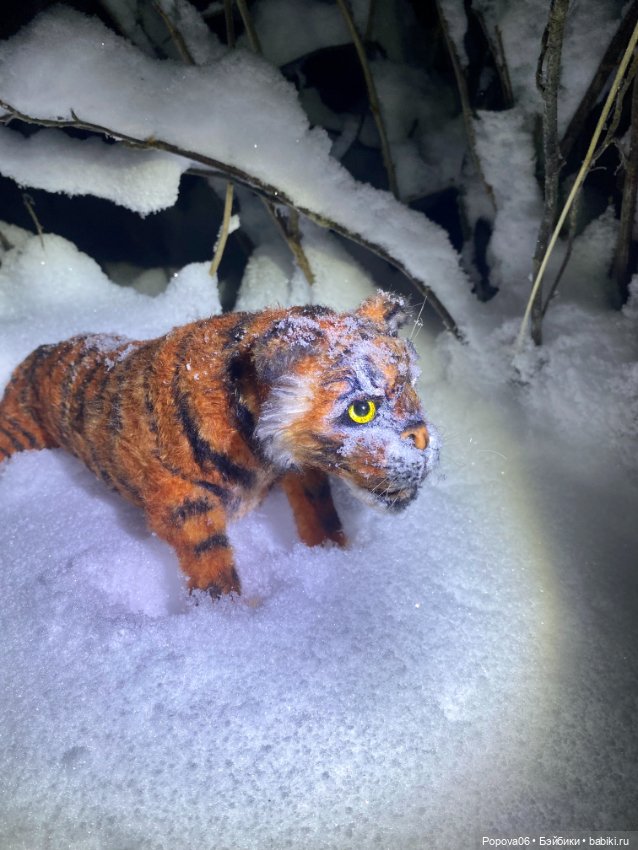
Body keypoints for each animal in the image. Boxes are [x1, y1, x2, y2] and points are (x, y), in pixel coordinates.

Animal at [0, 292, 439, 598]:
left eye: (413, 387)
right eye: (362, 409)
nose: (424, 440)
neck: (262, 453)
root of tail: (34, 354)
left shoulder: (299, 471)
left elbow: (320, 511)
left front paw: (333, 561)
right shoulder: (183, 503)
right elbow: (211, 562)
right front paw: (227, 619)